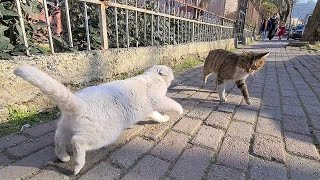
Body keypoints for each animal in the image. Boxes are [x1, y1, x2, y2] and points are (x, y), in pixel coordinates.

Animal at [14, 64, 182, 174]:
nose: (175, 79)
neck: (150, 78)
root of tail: (79, 103)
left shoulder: (148, 110)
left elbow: (155, 115)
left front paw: (162, 118)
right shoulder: (158, 99)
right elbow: (171, 103)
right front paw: (179, 111)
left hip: (64, 126)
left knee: (58, 139)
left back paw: (64, 157)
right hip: (104, 135)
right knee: (77, 142)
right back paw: (77, 166)